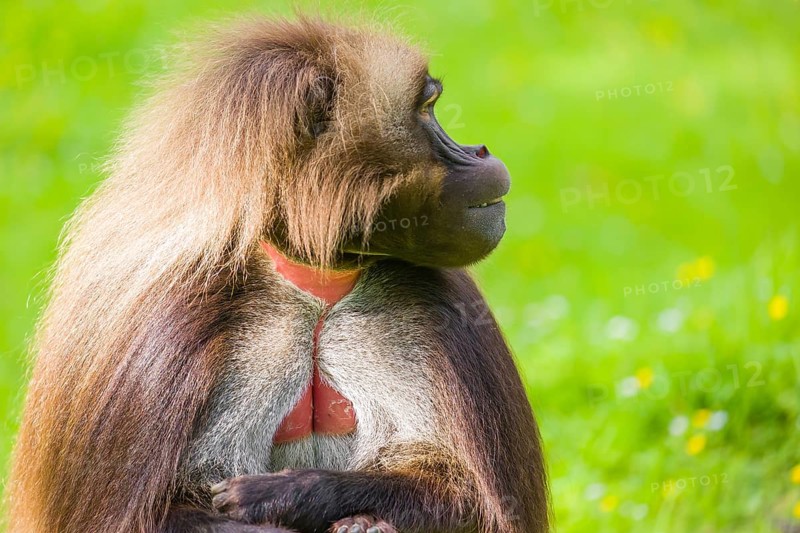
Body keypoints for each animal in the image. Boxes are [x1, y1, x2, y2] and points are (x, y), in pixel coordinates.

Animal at [6, 16, 549, 533]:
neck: (318, 288)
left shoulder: (440, 310)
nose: (481, 151)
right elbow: (150, 517)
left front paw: (298, 493)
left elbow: (470, 501)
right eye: (429, 108)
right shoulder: (165, 334)